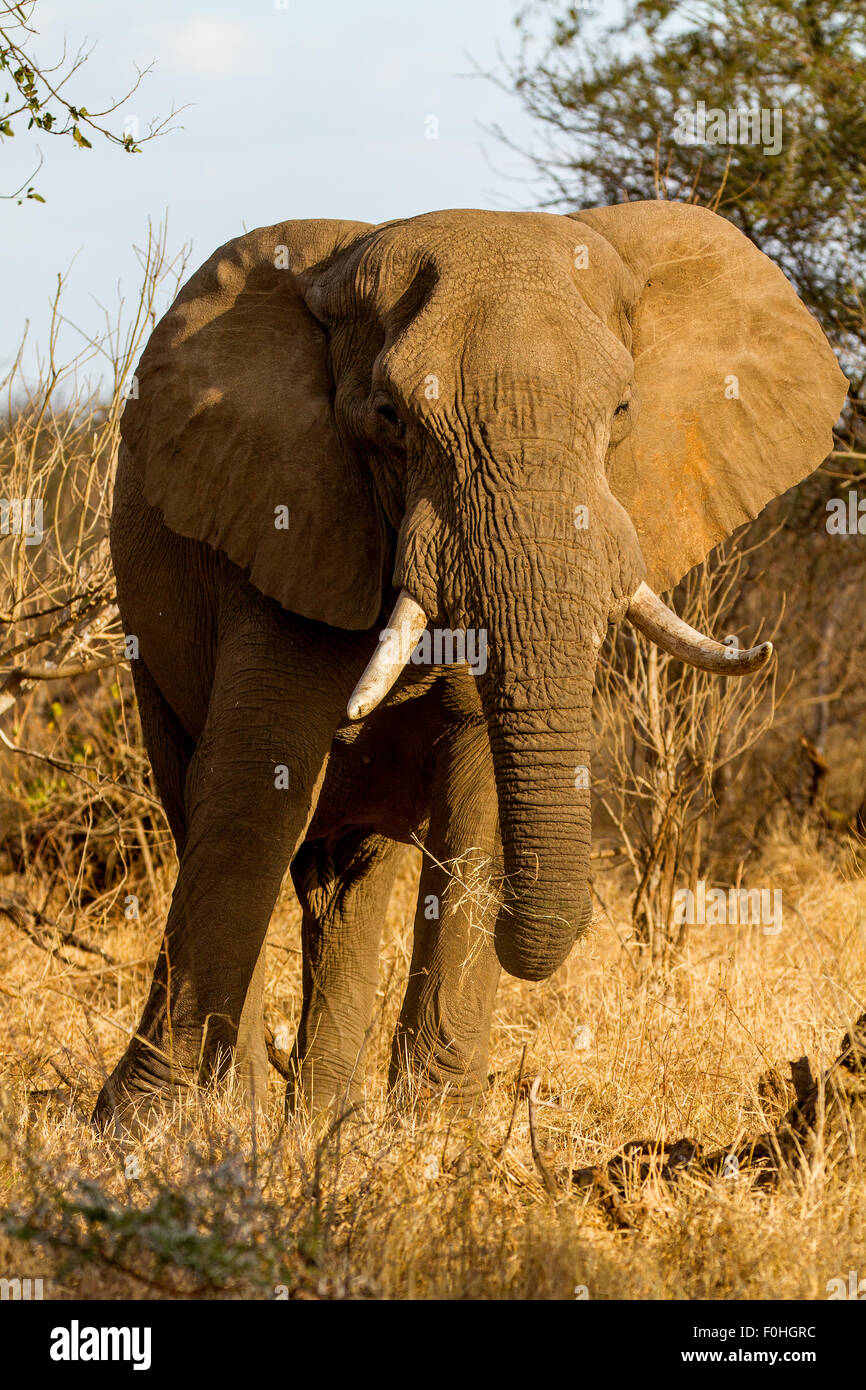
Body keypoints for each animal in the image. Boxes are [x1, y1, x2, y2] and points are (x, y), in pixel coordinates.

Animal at [93, 201, 845, 1123]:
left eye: (622, 409)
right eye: (389, 419)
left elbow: (480, 791)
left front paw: (435, 1129)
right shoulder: (286, 512)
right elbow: (252, 789)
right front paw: (156, 1128)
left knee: (348, 879)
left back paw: (323, 1119)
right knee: (214, 807)